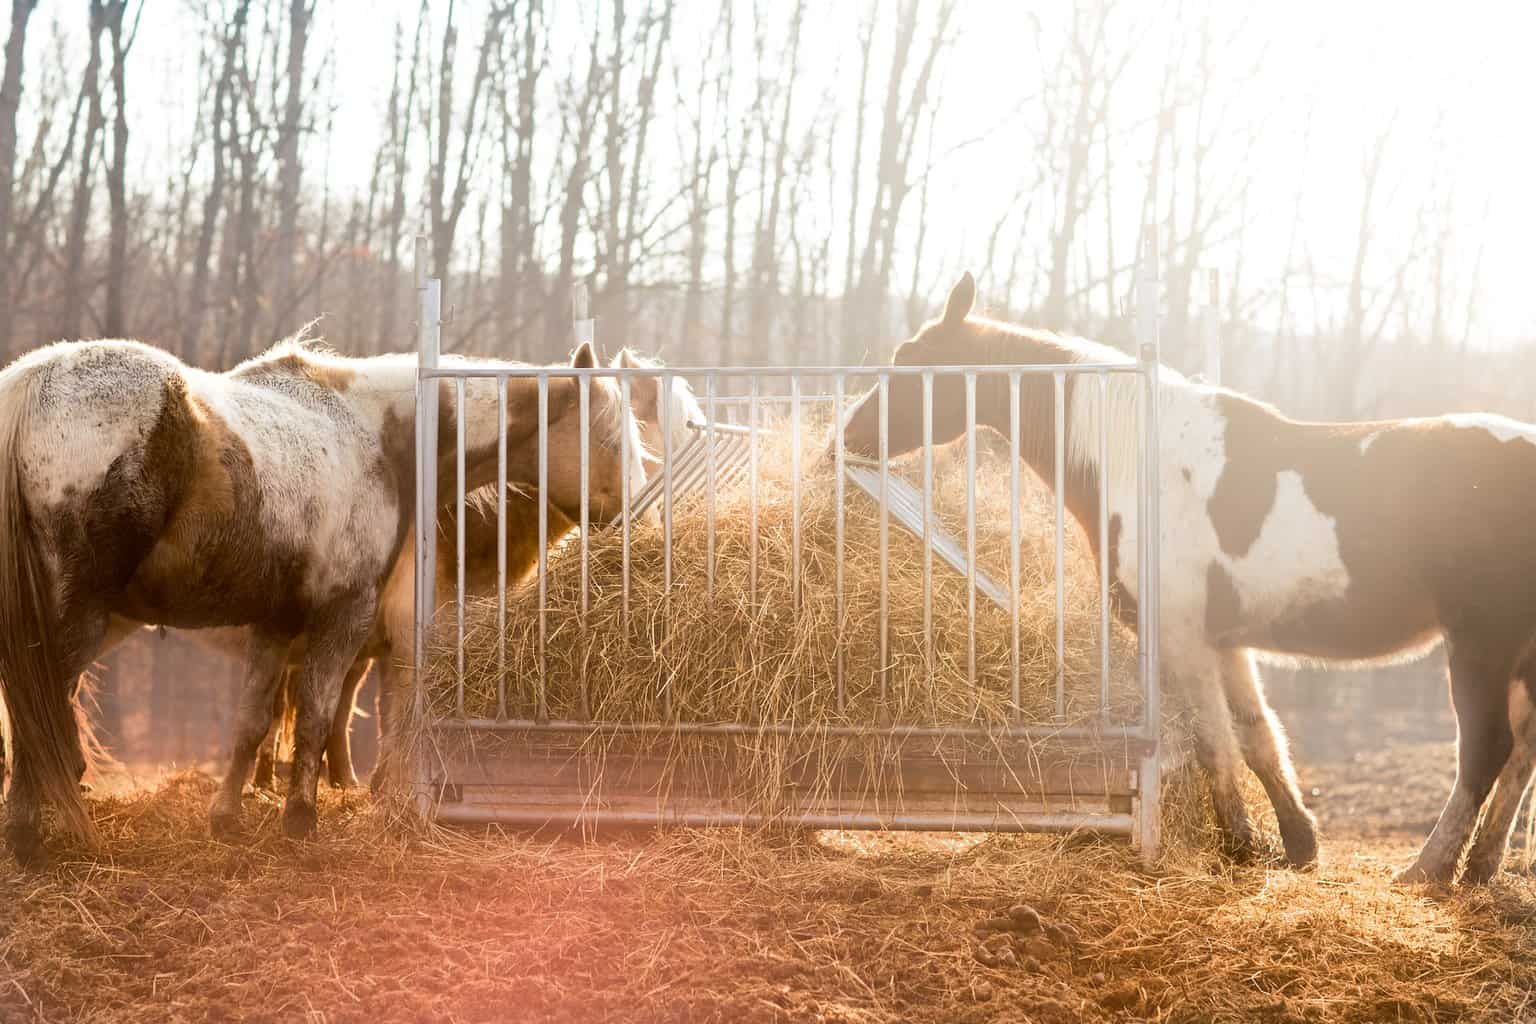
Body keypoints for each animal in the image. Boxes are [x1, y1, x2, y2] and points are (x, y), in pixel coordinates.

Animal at [847, 274, 1536, 890]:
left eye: (908, 362)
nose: (850, 433)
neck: (1140, 462)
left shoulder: (1183, 639)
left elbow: (1214, 744)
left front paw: (1240, 844)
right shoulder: (1227, 643)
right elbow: (1259, 738)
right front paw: (1298, 844)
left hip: (1480, 644)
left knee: (1486, 750)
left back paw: (1429, 869)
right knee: (1522, 751)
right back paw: (1480, 867)